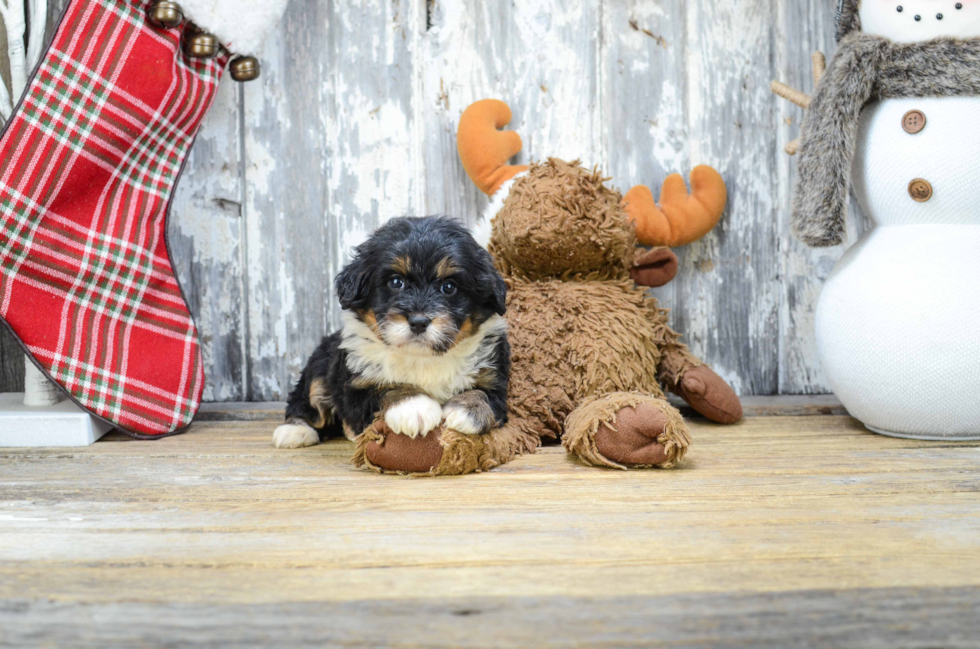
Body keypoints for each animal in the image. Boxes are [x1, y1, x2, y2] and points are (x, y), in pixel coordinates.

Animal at [272, 215, 510, 448]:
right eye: (396, 282)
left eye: (449, 287)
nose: (418, 322)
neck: (422, 358)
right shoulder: (357, 387)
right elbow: (387, 387)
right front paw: (414, 406)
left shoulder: (495, 379)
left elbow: (484, 394)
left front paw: (467, 410)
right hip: (320, 364)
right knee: (309, 401)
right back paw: (295, 430)